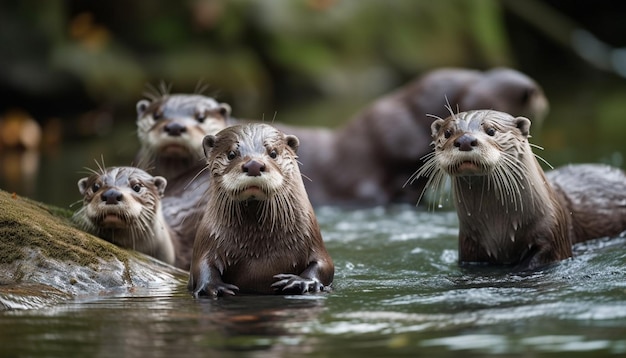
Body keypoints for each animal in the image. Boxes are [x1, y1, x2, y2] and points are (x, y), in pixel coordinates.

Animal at [188, 123, 334, 296]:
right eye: (231, 154)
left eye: (273, 153)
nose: (254, 165)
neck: (259, 246)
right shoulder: (208, 237)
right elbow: (201, 266)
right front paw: (214, 286)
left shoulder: (311, 236)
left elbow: (325, 265)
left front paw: (301, 281)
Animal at [410, 110, 624, 270]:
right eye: (447, 133)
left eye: (491, 130)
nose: (464, 140)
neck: (499, 231)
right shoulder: (468, 248)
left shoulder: (554, 234)